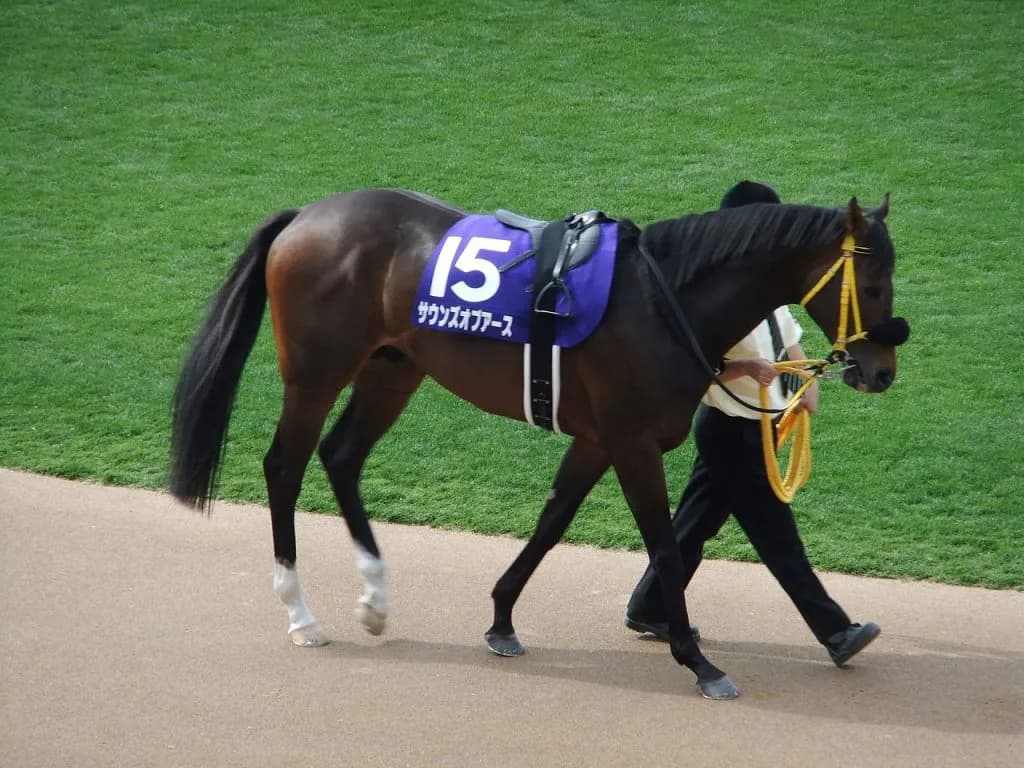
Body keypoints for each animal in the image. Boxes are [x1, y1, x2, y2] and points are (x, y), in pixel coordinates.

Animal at [169, 187, 908, 700]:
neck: (662, 300)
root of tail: (305, 216)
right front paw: (698, 661)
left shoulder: (598, 439)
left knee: (342, 456)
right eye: (874, 284)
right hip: (318, 373)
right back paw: (300, 613)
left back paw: (375, 600)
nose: (881, 371)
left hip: (393, 367)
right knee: (285, 465)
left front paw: (501, 619)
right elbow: (665, 547)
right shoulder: (632, 441)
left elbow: (553, 521)